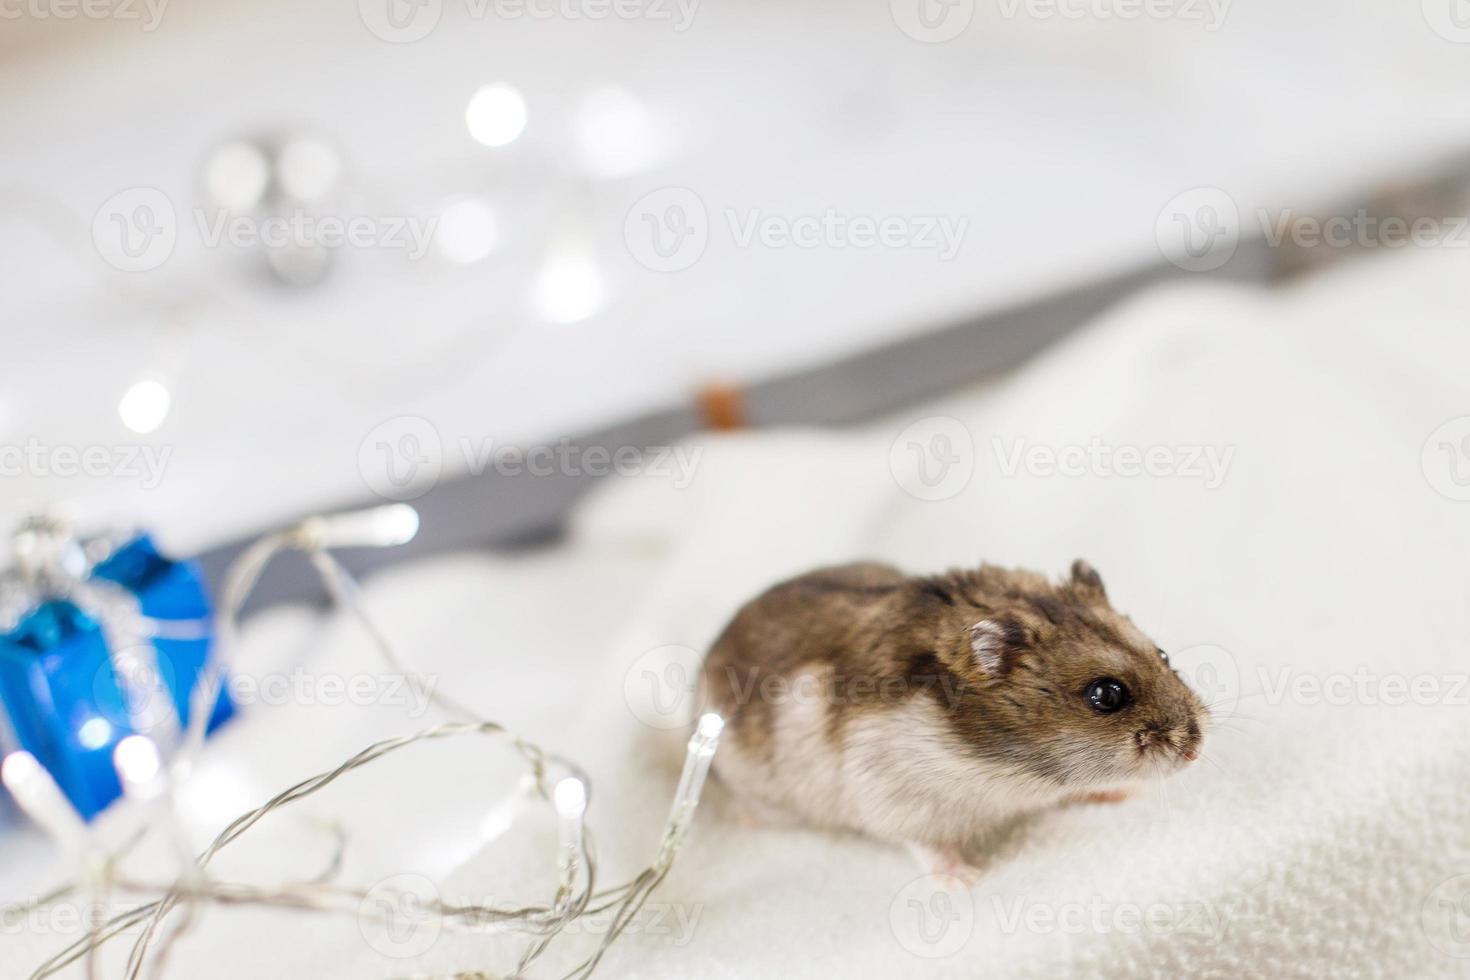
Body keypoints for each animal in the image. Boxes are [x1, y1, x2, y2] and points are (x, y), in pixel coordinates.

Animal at [699, 558, 1205, 881]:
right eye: (1106, 695)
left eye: (1163, 655)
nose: (1195, 749)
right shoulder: (895, 797)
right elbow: (925, 844)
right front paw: (967, 879)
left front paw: (1119, 793)